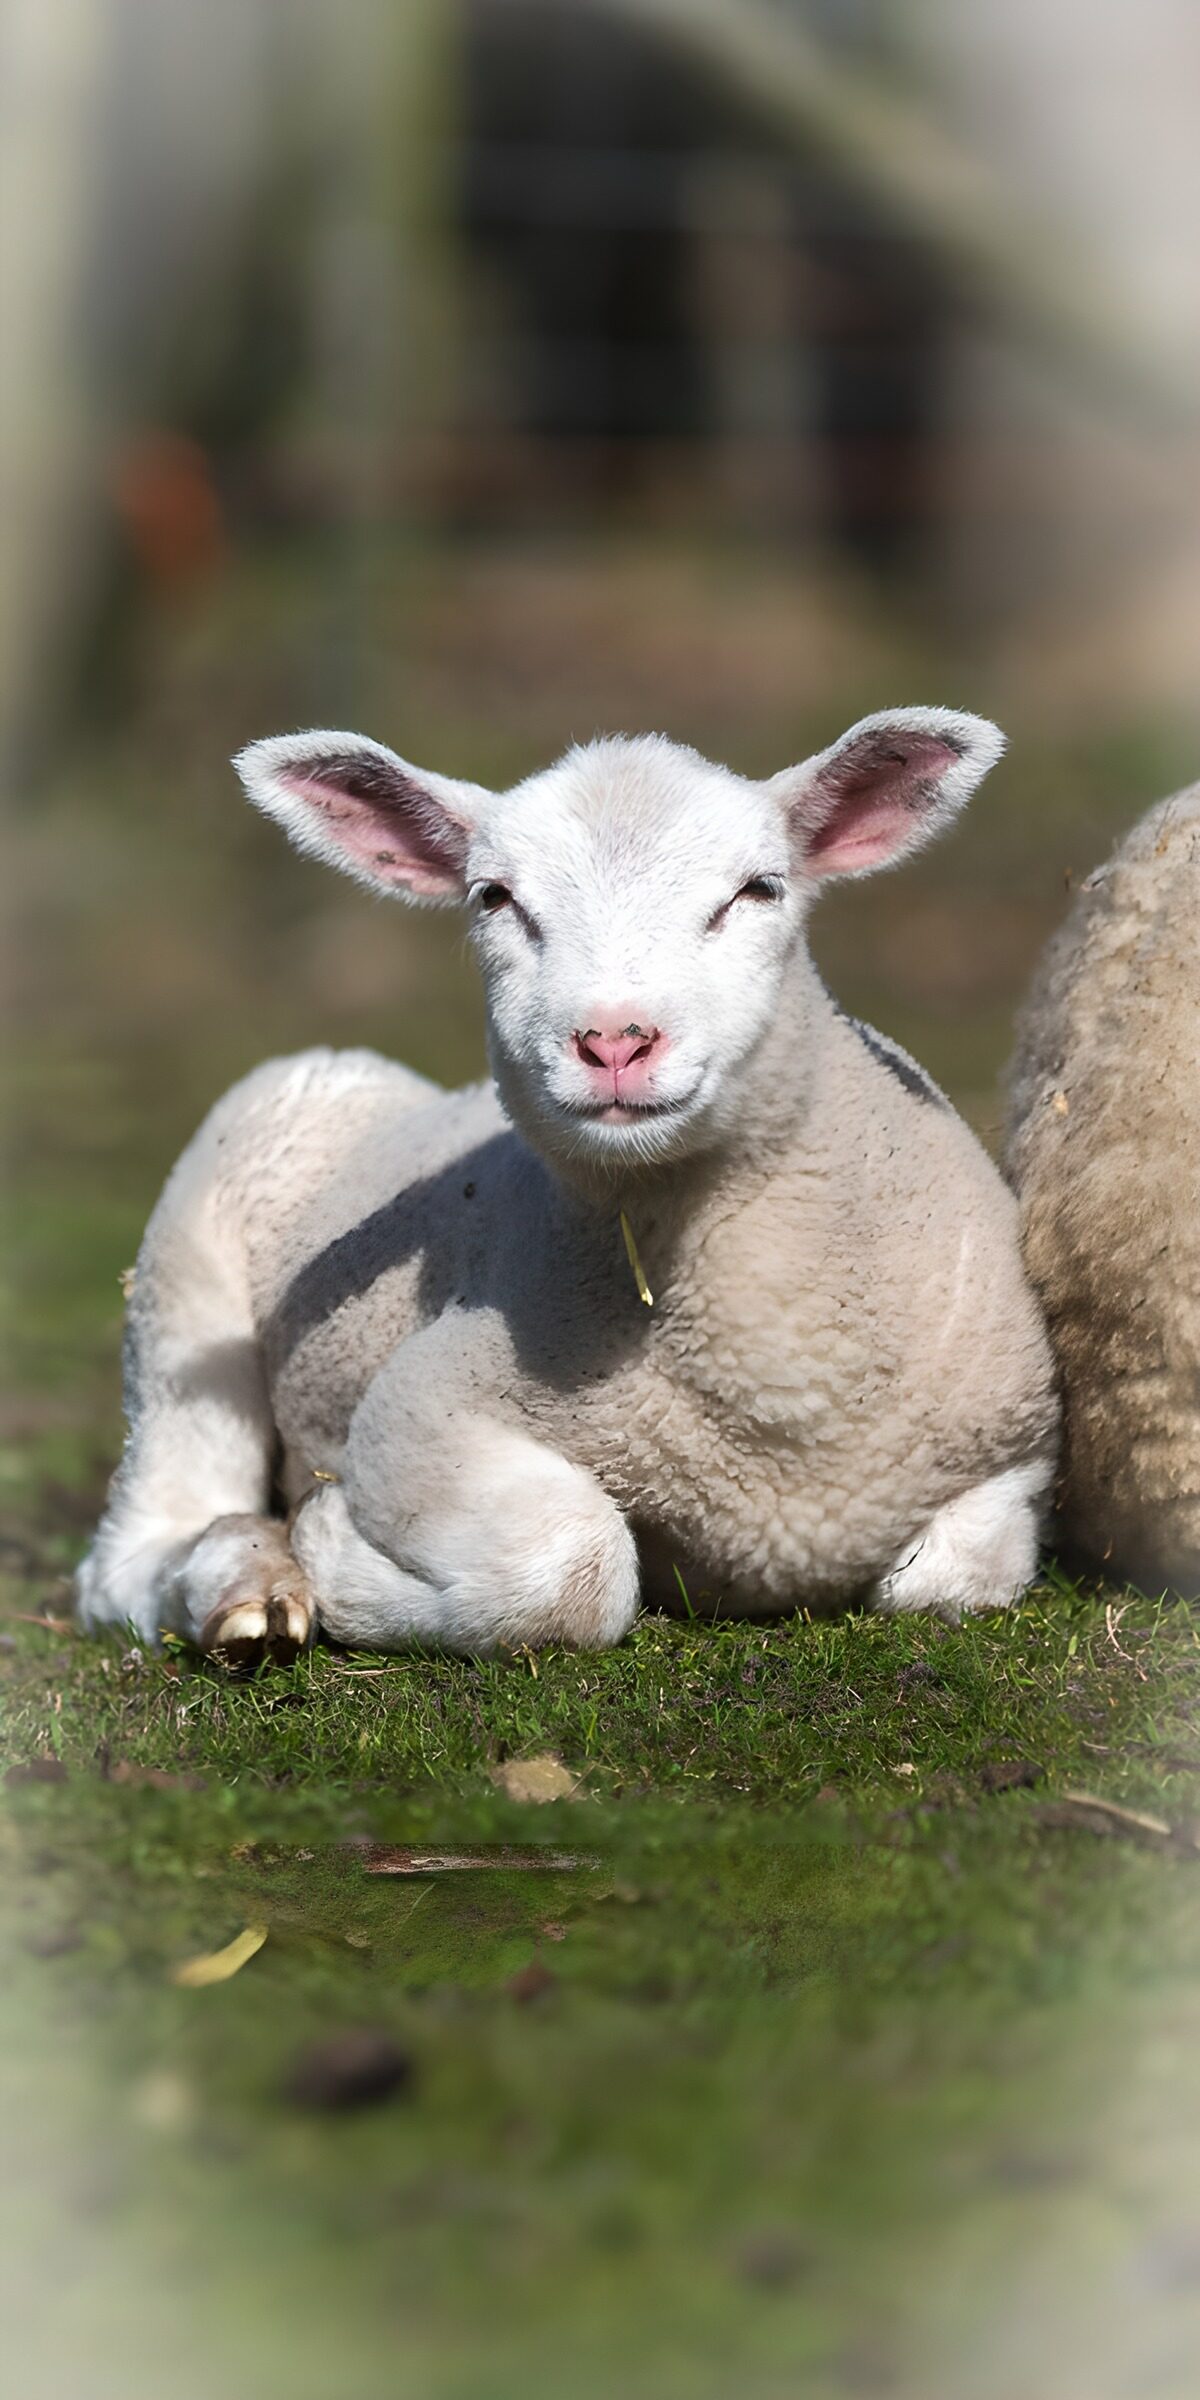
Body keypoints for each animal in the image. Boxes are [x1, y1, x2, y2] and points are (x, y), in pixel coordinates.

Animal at [76, 709, 1058, 1666]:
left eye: (759, 890)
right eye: (494, 898)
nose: (614, 1040)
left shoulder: (1011, 1453)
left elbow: (956, 1581)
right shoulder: (416, 1415)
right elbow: (569, 1563)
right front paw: (327, 1545)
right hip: (181, 1295)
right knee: (139, 1545)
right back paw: (250, 1587)